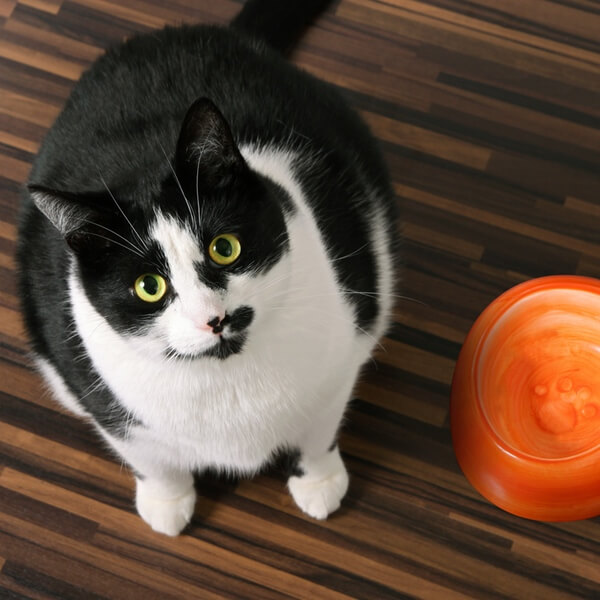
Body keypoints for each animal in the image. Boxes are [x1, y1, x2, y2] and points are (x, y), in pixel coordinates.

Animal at [16, 0, 398, 536]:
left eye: (224, 248)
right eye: (148, 286)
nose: (213, 318)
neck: (226, 377)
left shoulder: (340, 363)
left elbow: (318, 432)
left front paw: (320, 483)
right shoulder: (112, 409)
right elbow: (151, 459)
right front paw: (167, 503)